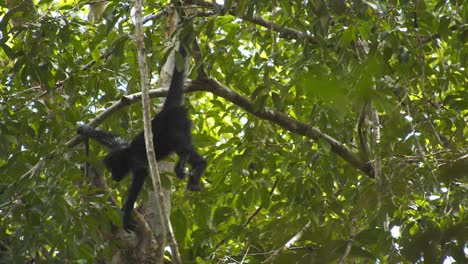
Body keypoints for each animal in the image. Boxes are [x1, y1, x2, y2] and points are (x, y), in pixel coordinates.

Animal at [77, 39, 207, 231]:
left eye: (112, 168)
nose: (114, 178)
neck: (126, 153)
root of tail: (166, 111)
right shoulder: (121, 145)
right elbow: (113, 138)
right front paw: (84, 129)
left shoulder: (134, 159)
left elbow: (141, 172)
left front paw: (125, 215)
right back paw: (201, 165)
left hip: (176, 123)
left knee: (180, 144)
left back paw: (186, 161)